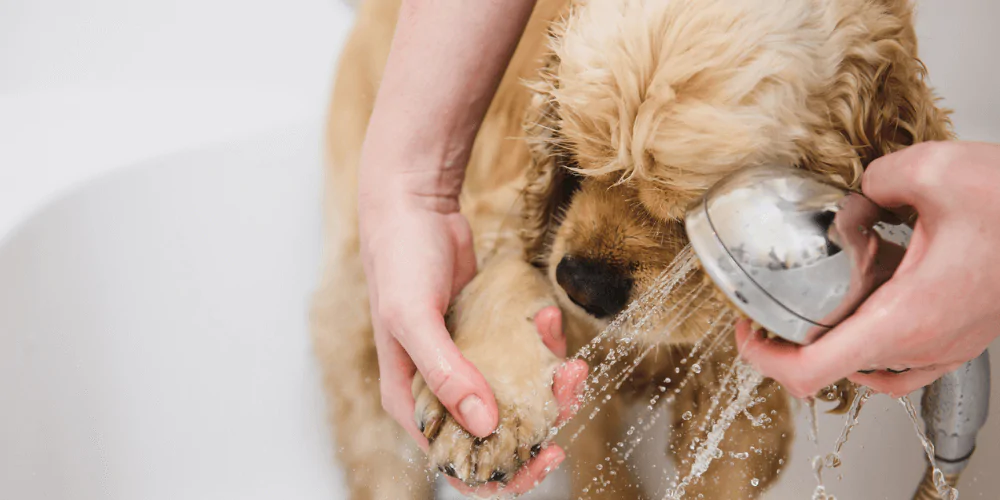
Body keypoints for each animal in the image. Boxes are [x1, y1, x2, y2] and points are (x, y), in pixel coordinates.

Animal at [312, 0, 952, 496]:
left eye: (697, 212)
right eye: (573, 155)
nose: (582, 285)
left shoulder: (746, 401)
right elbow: (506, 275)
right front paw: (484, 414)